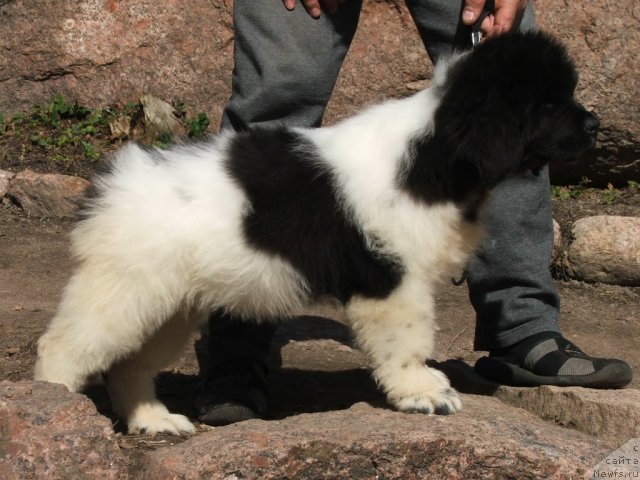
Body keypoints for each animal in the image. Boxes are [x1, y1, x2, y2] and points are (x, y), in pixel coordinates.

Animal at [36, 31, 600, 436]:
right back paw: (50, 411)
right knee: (62, 348)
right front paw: (422, 391)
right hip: (123, 289)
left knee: (129, 365)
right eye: (548, 105)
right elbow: (408, 340)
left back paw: (153, 421)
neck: (435, 153)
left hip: (169, 303)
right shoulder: (392, 280)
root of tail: (112, 183)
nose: (595, 126)